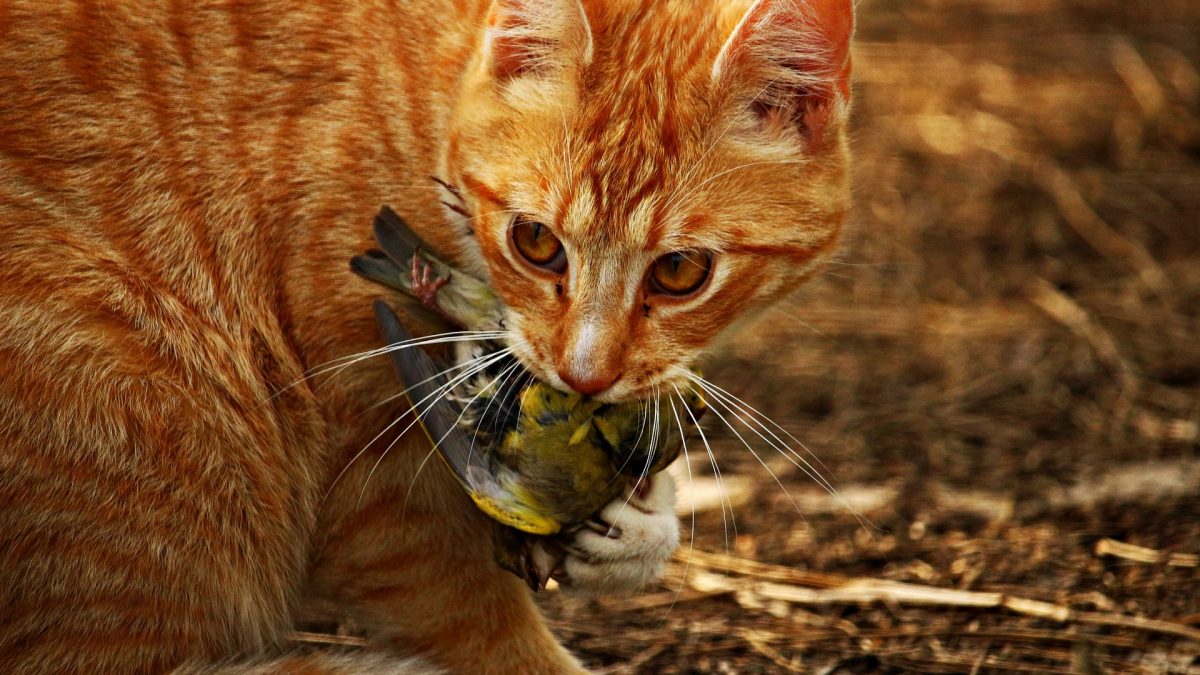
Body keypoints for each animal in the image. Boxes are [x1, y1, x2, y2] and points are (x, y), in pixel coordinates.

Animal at [0, 0, 854, 667]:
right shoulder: (376, 493)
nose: (583, 376)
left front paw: (641, 523)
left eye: (679, 270)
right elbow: (489, 628)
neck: (431, 112)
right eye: (535, 241)